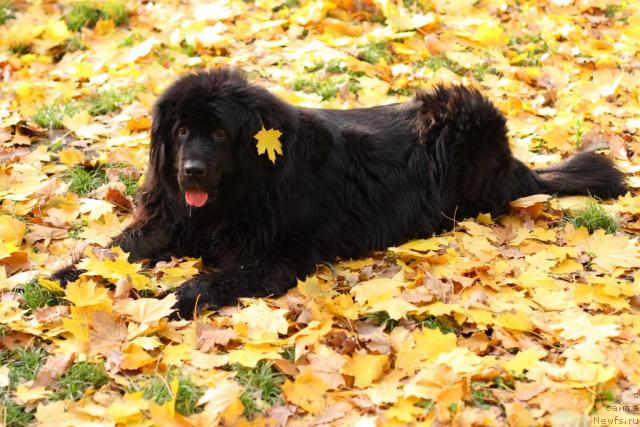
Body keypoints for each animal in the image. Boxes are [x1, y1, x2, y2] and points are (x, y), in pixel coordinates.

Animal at [53, 68, 624, 320]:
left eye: (217, 133)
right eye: (181, 131)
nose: (190, 172)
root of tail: (515, 163)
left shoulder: (278, 257)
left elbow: (214, 280)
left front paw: (170, 298)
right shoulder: (170, 221)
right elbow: (114, 250)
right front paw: (59, 276)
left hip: (460, 120)